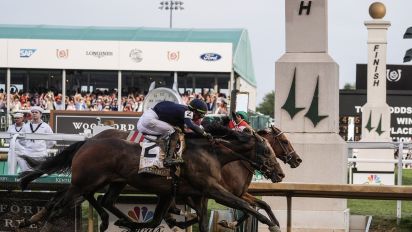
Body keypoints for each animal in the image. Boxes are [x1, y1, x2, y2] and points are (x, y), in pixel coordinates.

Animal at [17, 125, 284, 232]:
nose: (280, 173)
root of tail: (88, 142)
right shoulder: (212, 189)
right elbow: (244, 205)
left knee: (101, 200)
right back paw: (36, 221)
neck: (212, 153)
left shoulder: (190, 194)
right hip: (84, 182)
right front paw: (270, 223)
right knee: (58, 203)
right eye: (267, 151)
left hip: (110, 182)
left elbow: (170, 220)